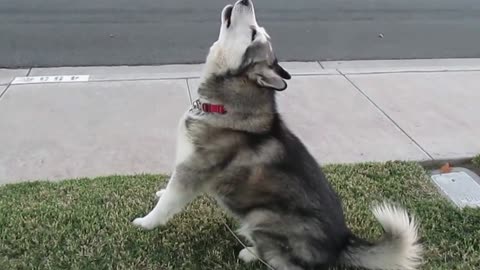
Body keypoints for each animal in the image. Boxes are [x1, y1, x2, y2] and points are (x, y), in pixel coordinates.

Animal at [133, 1, 422, 268]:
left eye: (253, 33)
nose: (246, 1)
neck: (225, 104)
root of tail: (341, 243)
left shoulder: (193, 170)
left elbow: (167, 204)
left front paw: (145, 223)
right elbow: (168, 191)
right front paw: (160, 192)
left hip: (262, 216)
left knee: (279, 259)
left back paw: (250, 253)